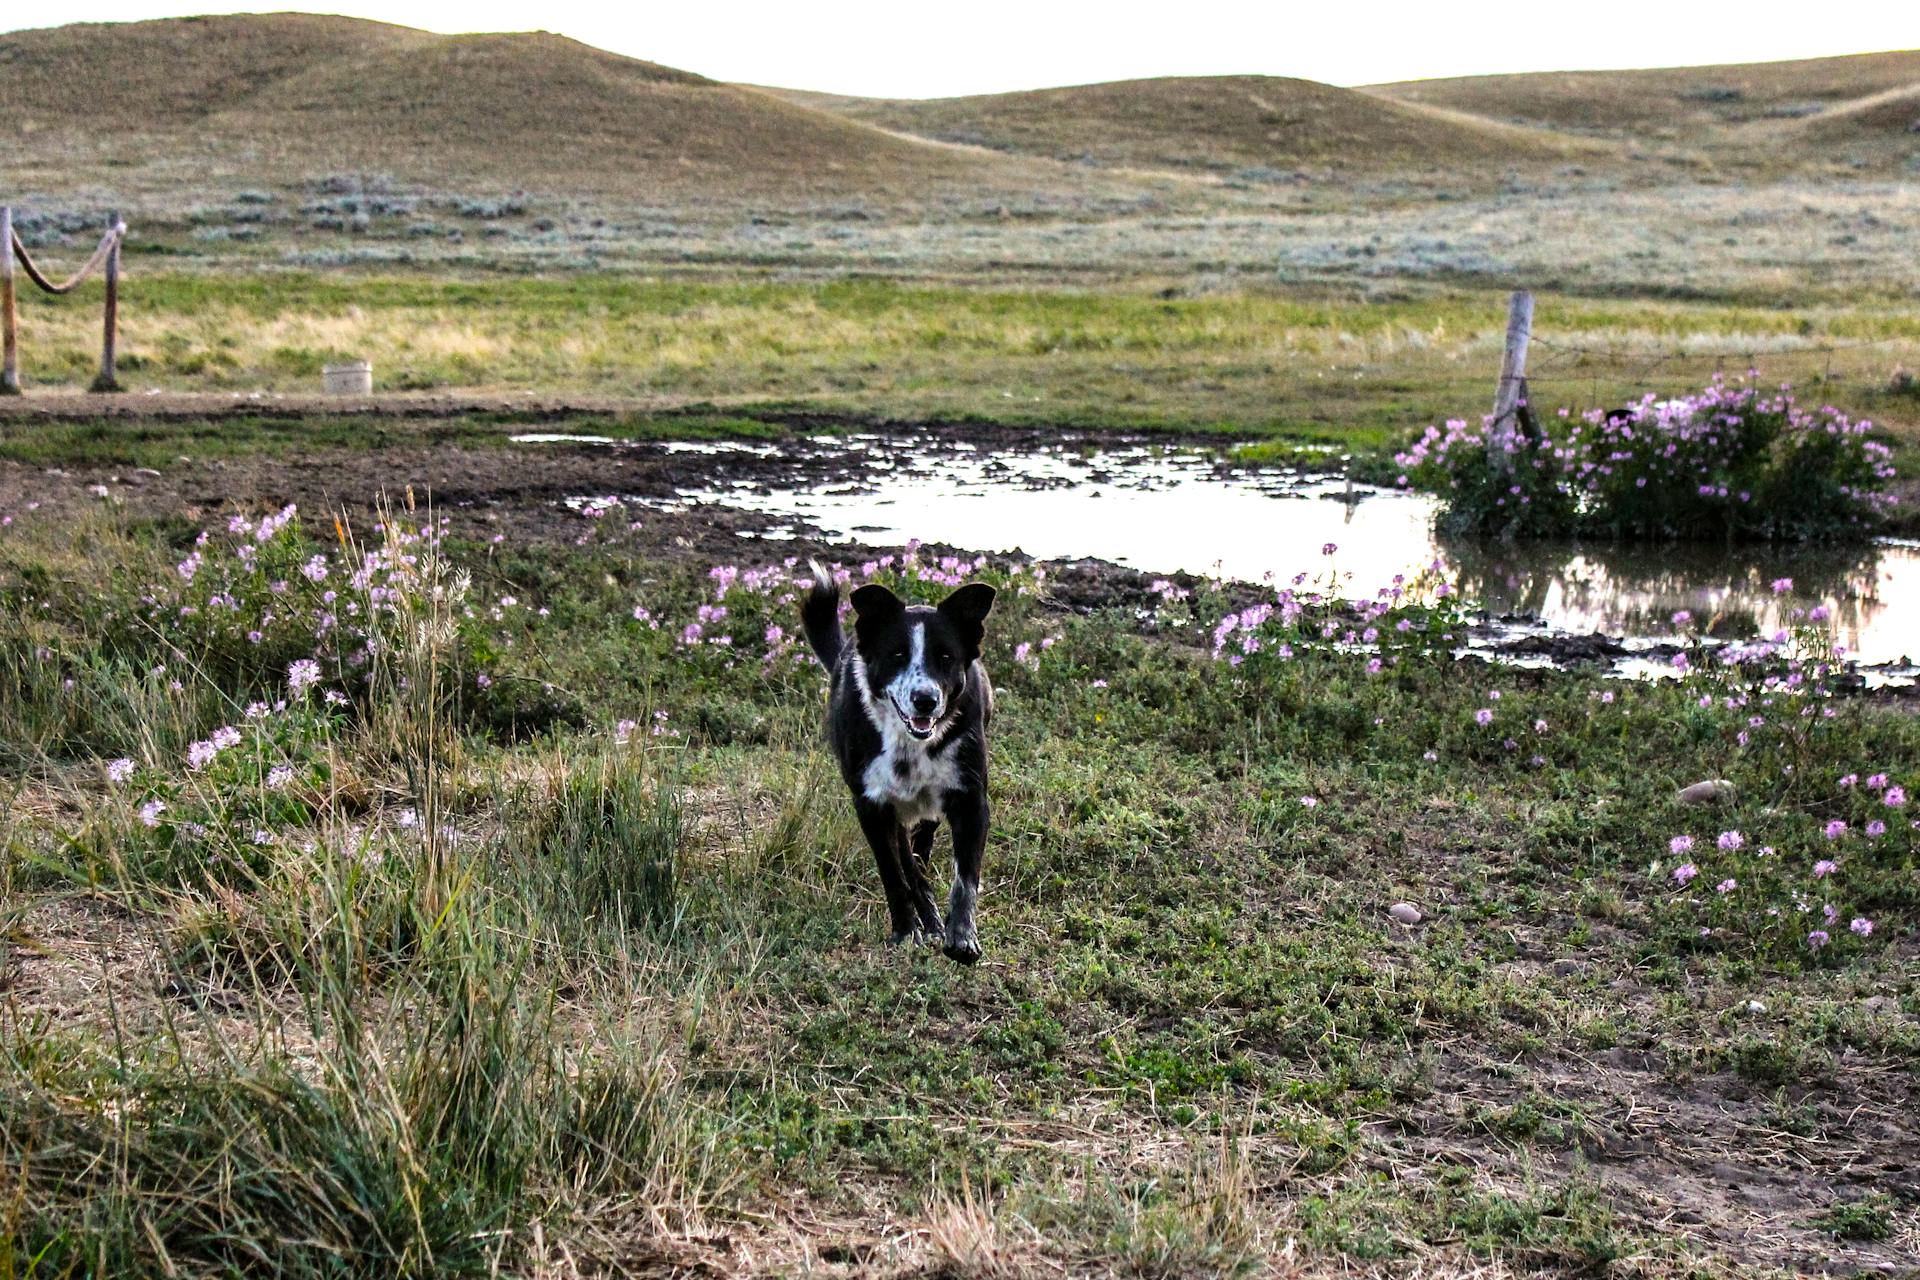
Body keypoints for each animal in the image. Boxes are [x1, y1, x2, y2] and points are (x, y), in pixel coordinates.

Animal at [802, 564, 998, 967]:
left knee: (920, 847)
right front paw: (906, 931)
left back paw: (934, 919)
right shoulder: (872, 804)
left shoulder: (969, 797)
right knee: (907, 860)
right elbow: (892, 871)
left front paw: (961, 937)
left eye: (946, 657)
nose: (925, 700)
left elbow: (966, 876)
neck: (910, 744)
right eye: (896, 654)